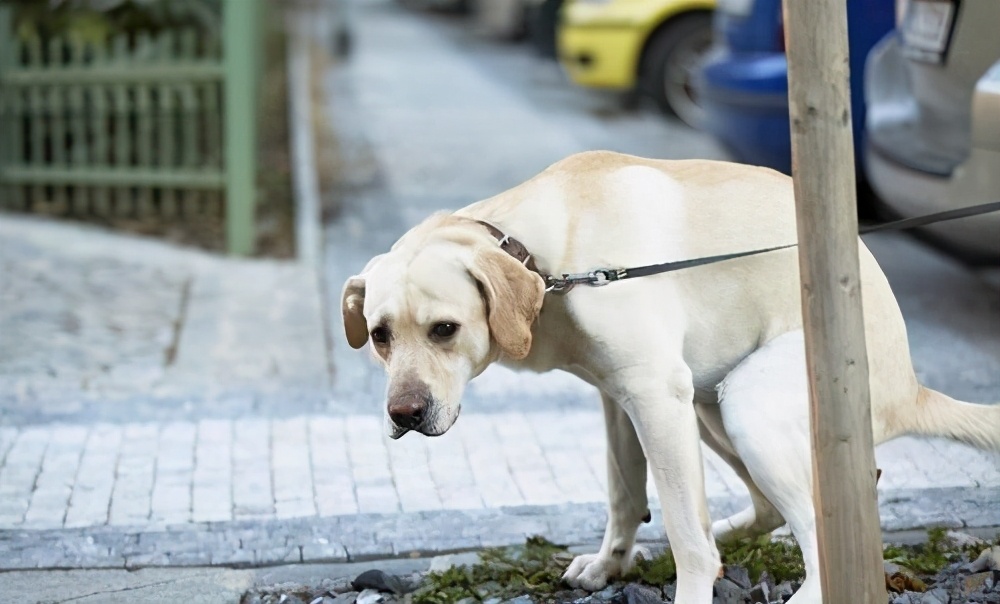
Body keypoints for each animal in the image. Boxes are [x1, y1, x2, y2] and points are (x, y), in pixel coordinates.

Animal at [340, 149, 996, 600]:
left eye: (444, 329)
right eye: (379, 336)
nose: (403, 414)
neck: (547, 262)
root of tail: (911, 388)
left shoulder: (654, 395)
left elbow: (685, 534)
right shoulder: (620, 398)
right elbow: (625, 495)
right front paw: (610, 564)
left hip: (747, 403)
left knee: (817, 530)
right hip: (709, 408)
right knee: (782, 507)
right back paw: (733, 531)